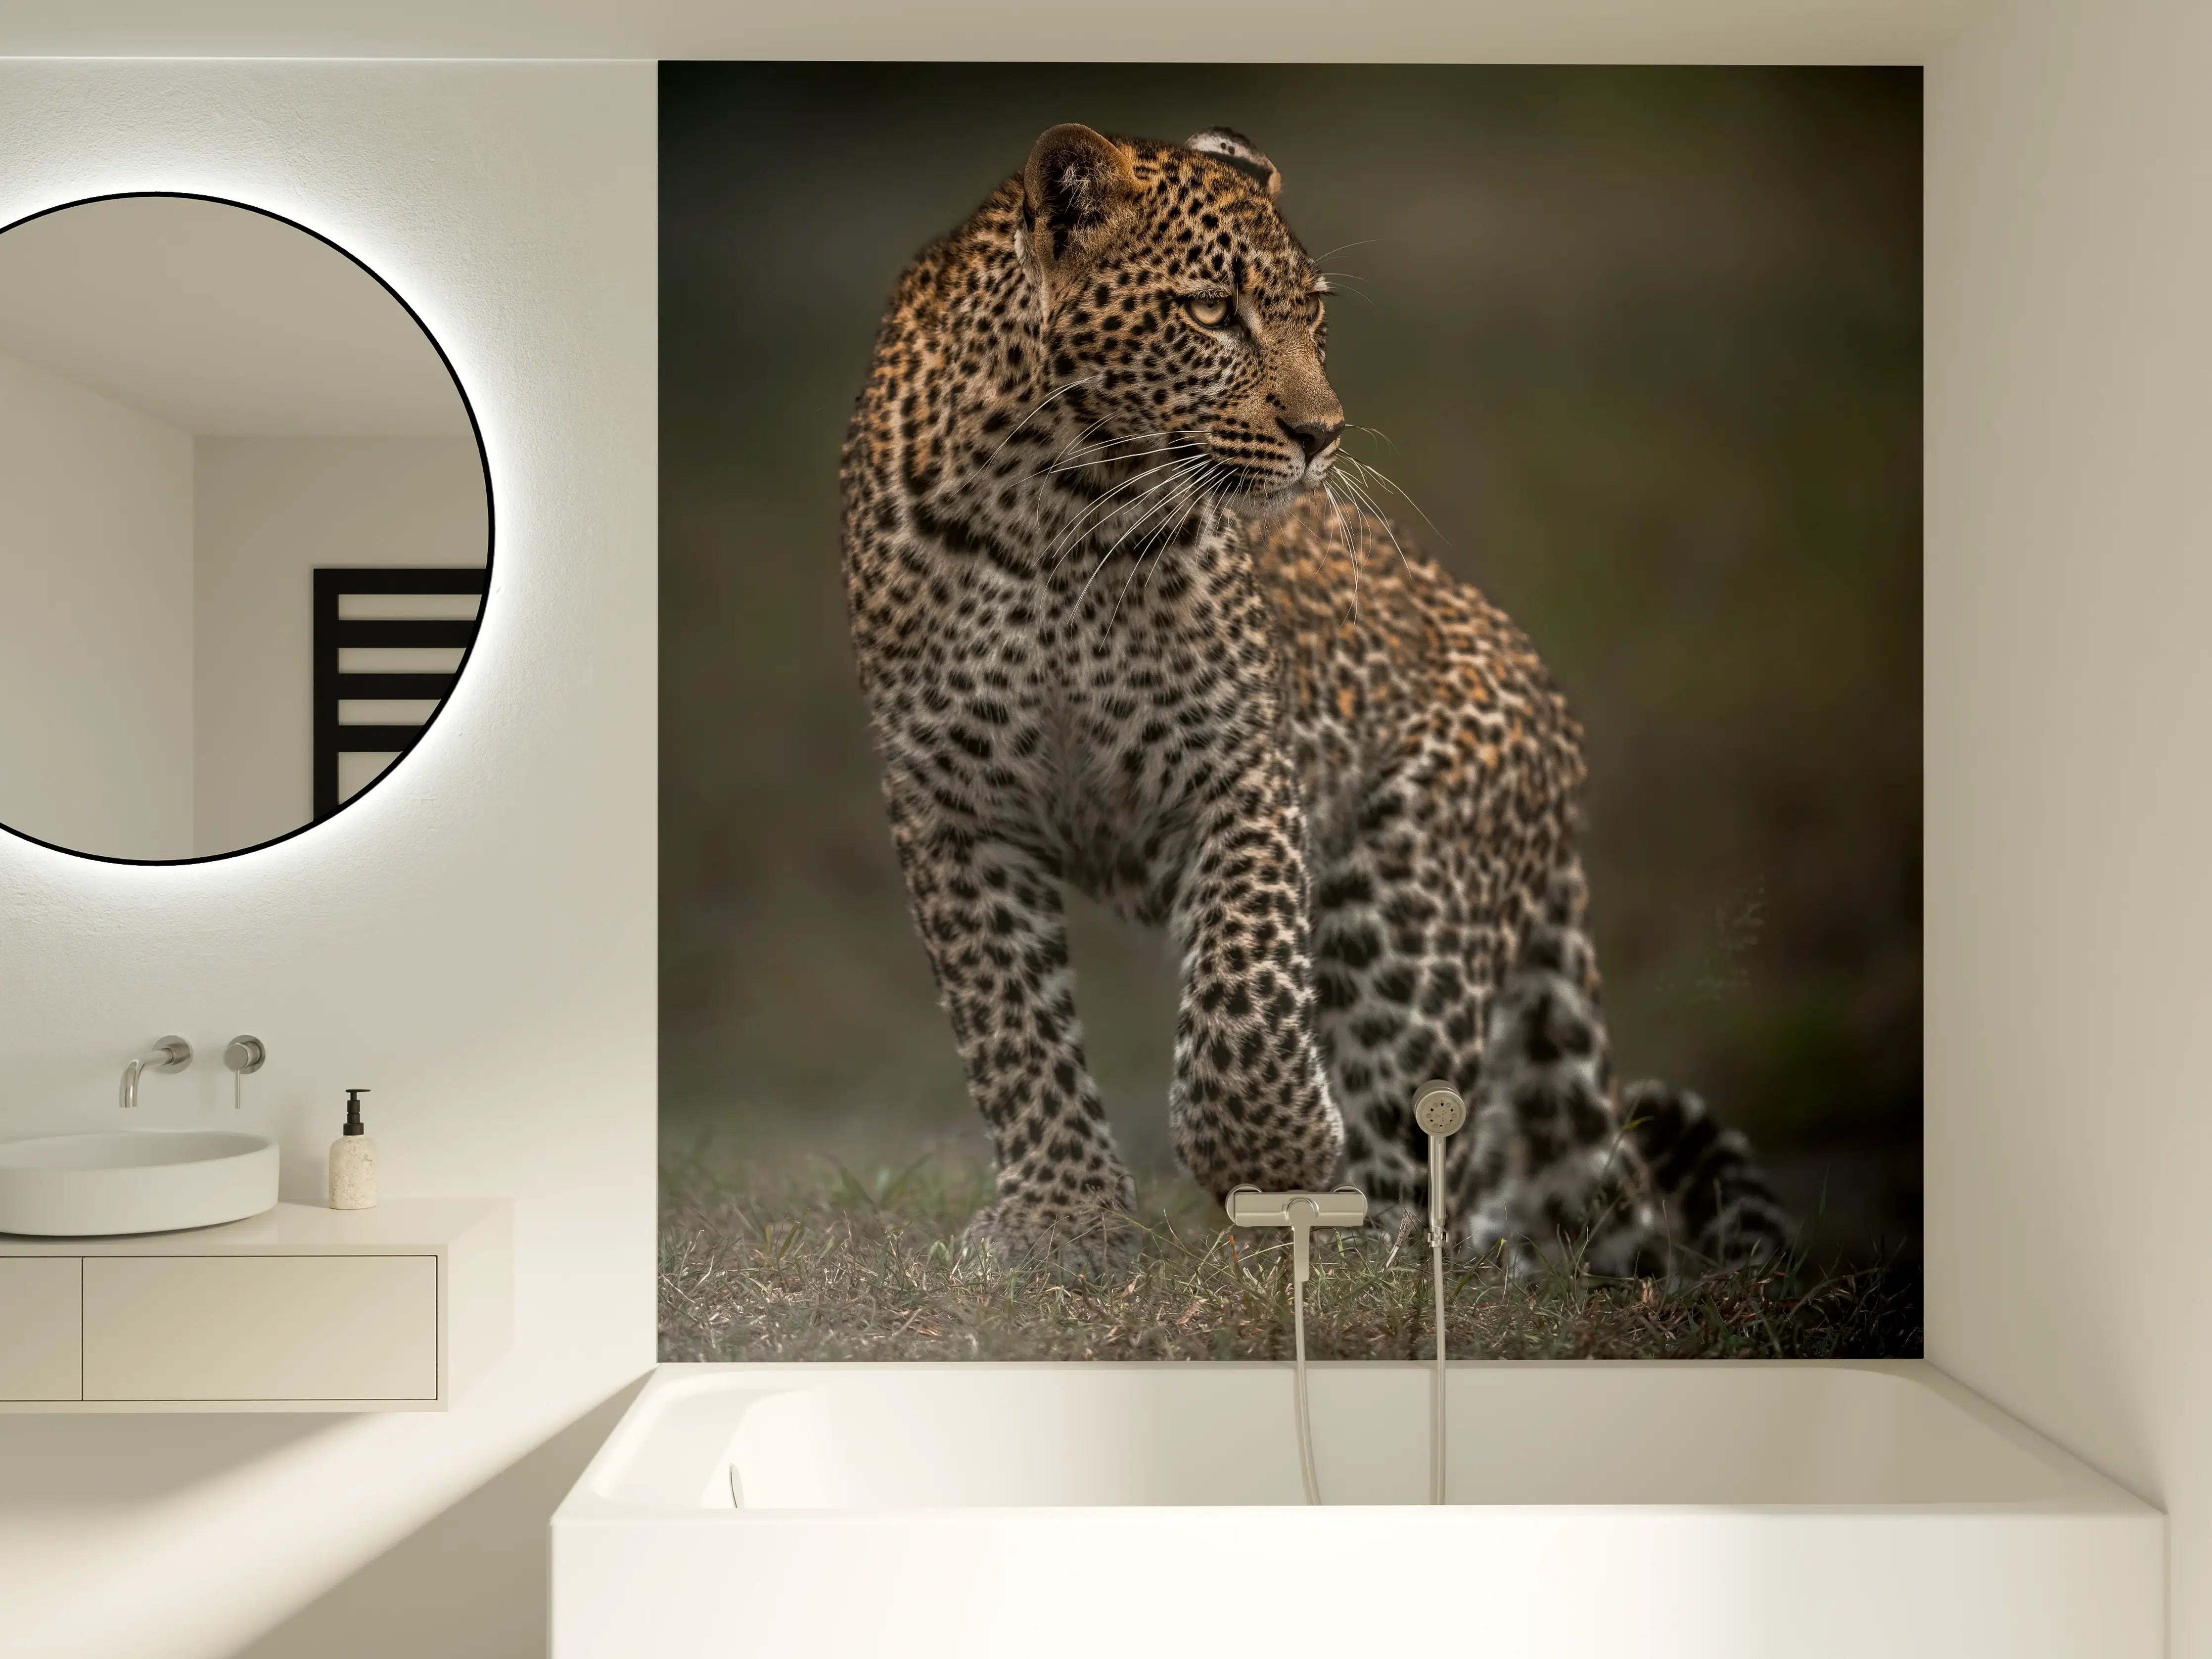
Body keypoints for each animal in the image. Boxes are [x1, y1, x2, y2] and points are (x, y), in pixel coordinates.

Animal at [838, 121, 1787, 1276]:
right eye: (1213, 310)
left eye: (1313, 315)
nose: (1322, 434)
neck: (1052, 509)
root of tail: (1555, 726)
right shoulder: (951, 802)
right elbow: (1009, 1024)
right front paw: (1063, 1220)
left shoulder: (1238, 762)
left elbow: (1245, 986)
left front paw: (1272, 1150)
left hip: (1406, 908)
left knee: (1426, 1161)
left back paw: (1350, 1239)